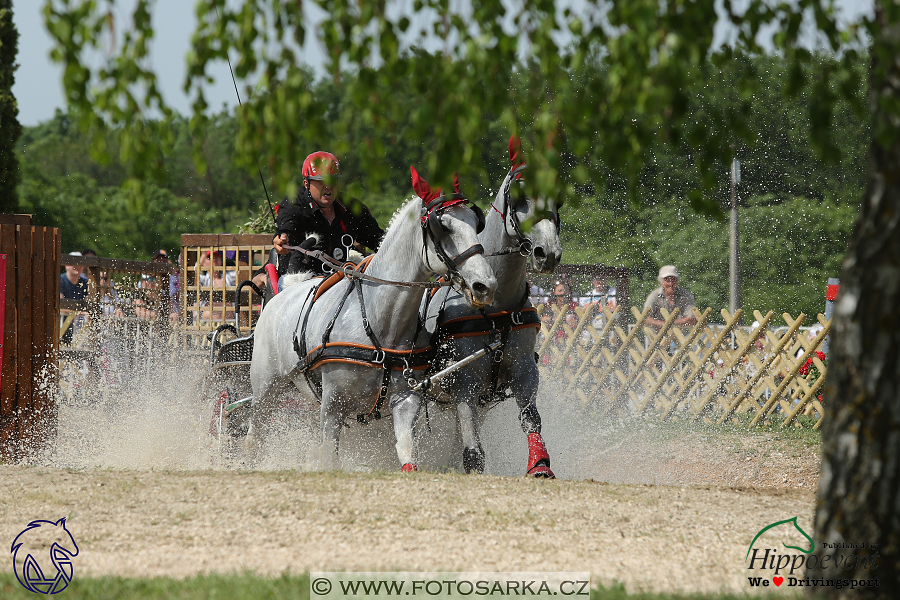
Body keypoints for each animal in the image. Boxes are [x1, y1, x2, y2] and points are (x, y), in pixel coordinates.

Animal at [250, 168, 496, 468]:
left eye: (476, 222)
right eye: (443, 226)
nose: (485, 285)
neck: (383, 322)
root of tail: (282, 293)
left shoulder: (405, 399)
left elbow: (407, 454)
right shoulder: (332, 407)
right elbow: (329, 458)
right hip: (264, 391)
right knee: (253, 436)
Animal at [422, 136, 564, 478]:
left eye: (559, 199)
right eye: (521, 196)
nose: (548, 253)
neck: (496, 308)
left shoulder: (524, 370)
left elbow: (530, 419)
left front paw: (540, 465)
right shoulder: (464, 384)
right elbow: (472, 447)